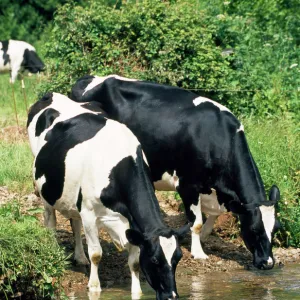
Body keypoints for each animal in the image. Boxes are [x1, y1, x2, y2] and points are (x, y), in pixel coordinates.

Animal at [27, 92, 188, 298]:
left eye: (178, 258)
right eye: (154, 260)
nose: (171, 296)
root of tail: (52, 95)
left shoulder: (131, 223)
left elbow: (134, 261)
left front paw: (136, 292)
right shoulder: (89, 213)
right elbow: (96, 254)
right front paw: (94, 287)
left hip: (74, 196)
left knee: (75, 223)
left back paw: (80, 257)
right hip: (44, 186)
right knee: (50, 221)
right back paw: (55, 250)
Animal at [71, 74, 282, 270]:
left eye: (275, 229)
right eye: (254, 229)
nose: (268, 263)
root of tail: (87, 78)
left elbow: (214, 214)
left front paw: (204, 236)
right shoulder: (188, 184)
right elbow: (196, 222)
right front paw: (198, 252)